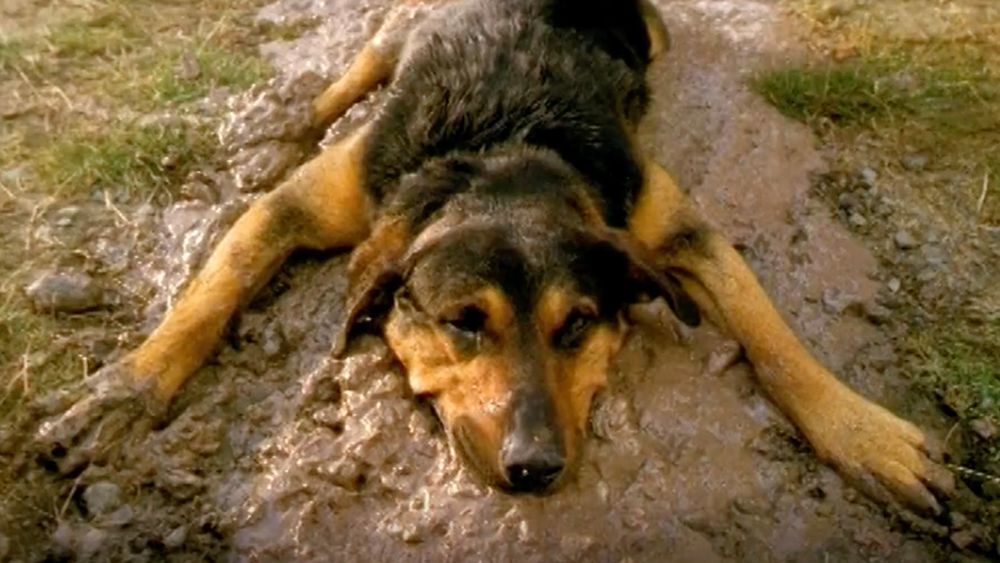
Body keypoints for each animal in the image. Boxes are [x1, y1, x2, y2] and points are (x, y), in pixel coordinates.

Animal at [39, 0, 952, 512]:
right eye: (463, 323)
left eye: (576, 325)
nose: (536, 467)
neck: (503, 150)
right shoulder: (318, 200)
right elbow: (214, 288)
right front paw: (127, 389)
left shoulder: (672, 228)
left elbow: (774, 336)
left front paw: (863, 433)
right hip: (399, 29)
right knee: (353, 74)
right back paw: (295, 123)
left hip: (652, 32)